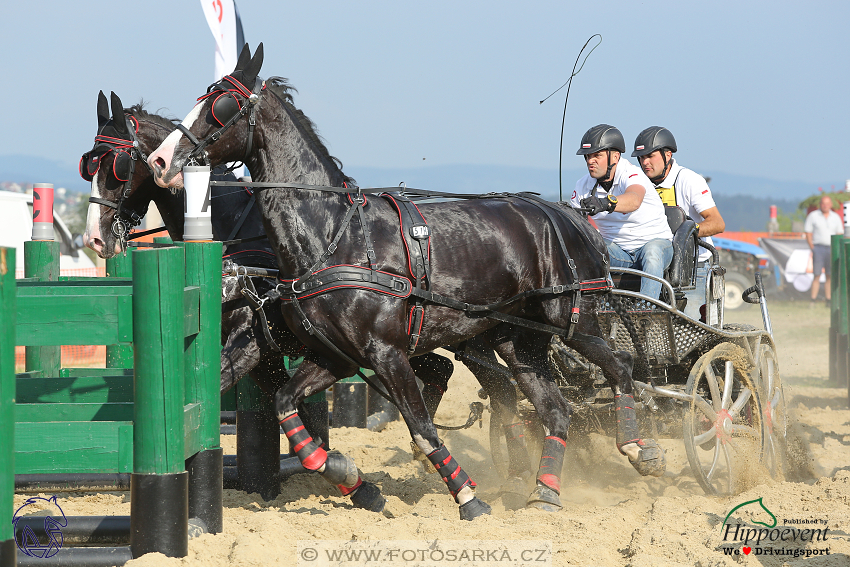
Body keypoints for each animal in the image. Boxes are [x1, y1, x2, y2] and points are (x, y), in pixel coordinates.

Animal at [144, 45, 664, 524]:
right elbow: (285, 403)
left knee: (618, 367)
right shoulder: (334, 356)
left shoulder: (386, 353)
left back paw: (640, 450)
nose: (160, 160)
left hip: (571, 320)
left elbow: (420, 425)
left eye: (220, 105)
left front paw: (469, 498)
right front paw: (355, 482)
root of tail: (566, 213)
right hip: (518, 341)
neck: (335, 236)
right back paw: (544, 491)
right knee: (554, 408)